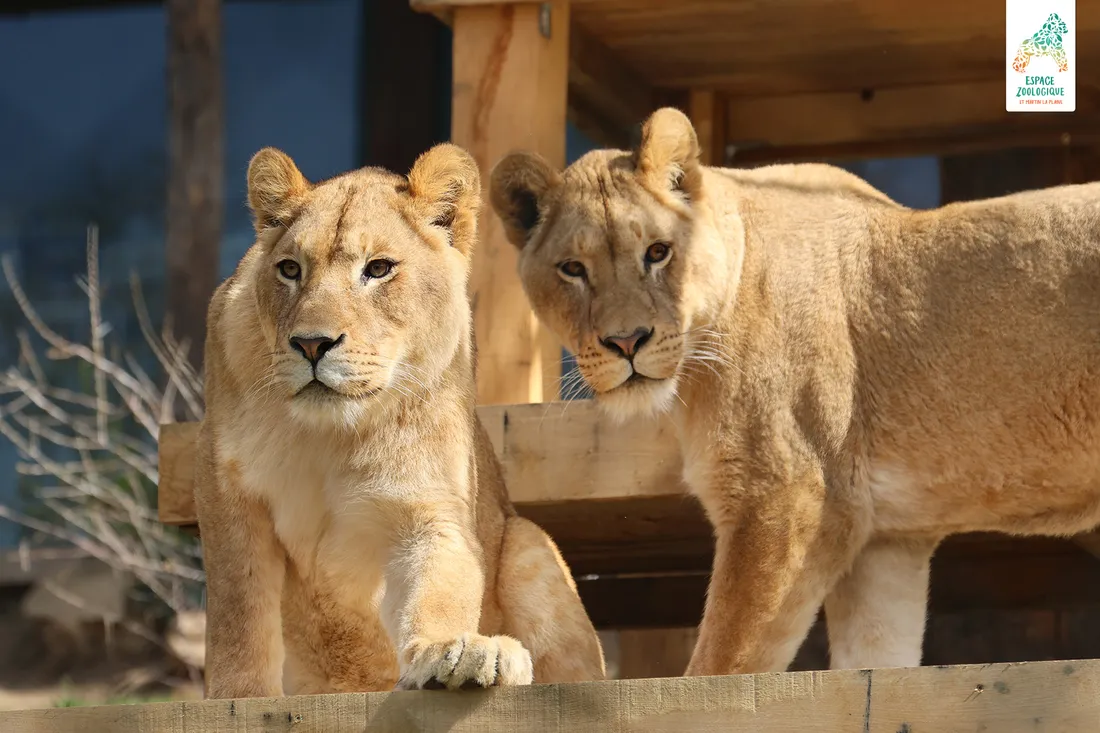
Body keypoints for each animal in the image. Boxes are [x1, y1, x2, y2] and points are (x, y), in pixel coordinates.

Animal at [193, 143, 605, 699]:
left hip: (528, 544)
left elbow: (439, 585)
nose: (311, 344)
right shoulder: (227, 491)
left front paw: (457, 651)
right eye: (289, 269)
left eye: (379, 268)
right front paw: (239, 697)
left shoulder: (428, 503)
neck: (331, 433)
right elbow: (239, 611)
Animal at [489, 107, 1100, 677]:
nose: (626, 341)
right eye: (572, 269)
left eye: (658, 253)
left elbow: (718, 670)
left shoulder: (790, 496)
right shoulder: (884, 542)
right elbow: (872, 669)